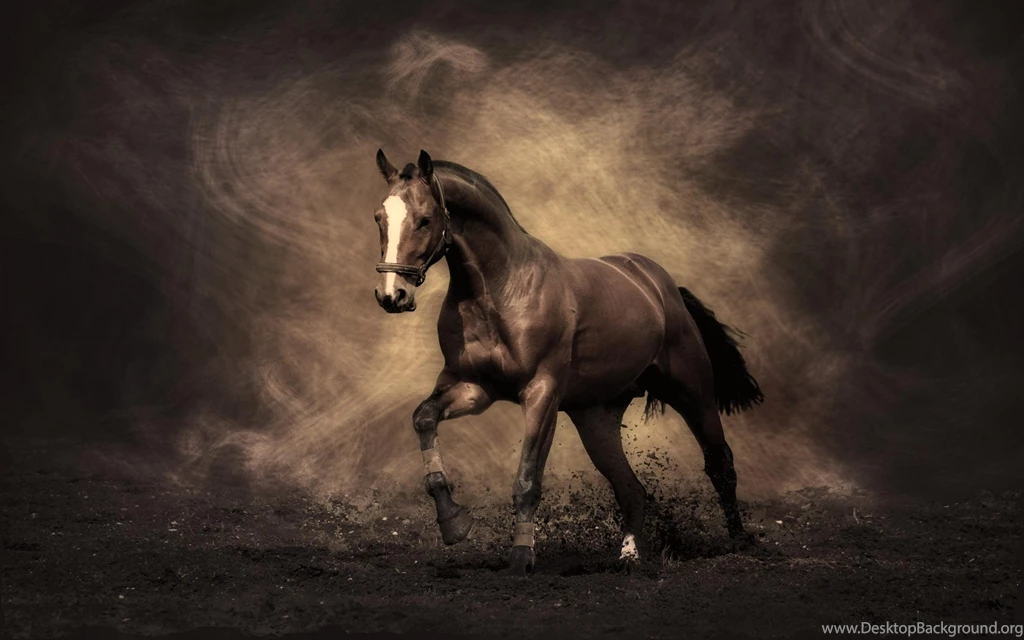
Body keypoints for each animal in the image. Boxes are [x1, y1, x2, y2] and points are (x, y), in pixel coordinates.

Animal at [370, 149, 764, 576]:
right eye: (379, 217)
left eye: (425, 219)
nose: (392, 295)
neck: (501, 290)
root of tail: (661, 285)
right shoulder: (473, 388)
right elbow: (424, 419)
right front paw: (454, 523)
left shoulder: (542, 394)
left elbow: (527, 480)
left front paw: (521, 558)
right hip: (596, 418)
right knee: (631, 488)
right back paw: (629, 556)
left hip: (692, 391)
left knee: (720, 463)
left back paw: (739, 542)